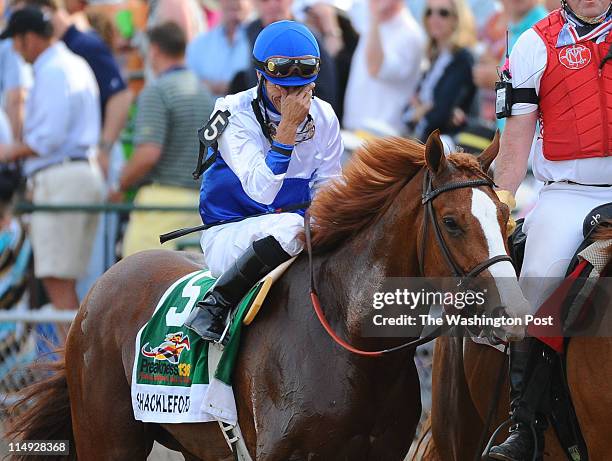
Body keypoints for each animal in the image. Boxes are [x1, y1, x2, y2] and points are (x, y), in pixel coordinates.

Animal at [8, 131, 520, 458]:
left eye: (504, 217)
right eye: (452, 222)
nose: (511, 311)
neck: (346, 336)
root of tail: (107, 280)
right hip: (108, 436)